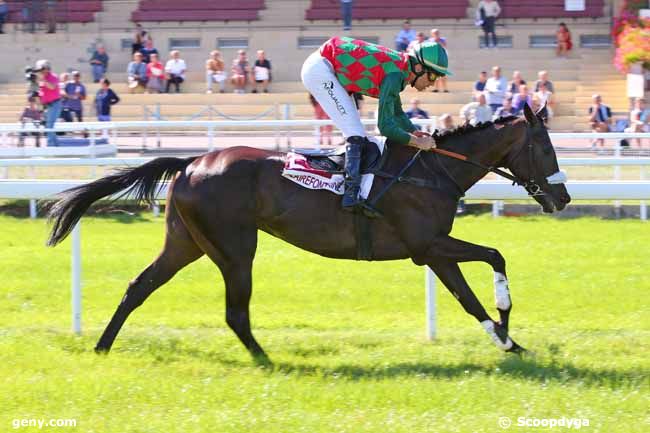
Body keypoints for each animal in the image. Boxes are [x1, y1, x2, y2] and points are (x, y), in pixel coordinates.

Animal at [46, 104, 568, 362]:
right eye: (545, 147)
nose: (562, 198)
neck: (431, 170)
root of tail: (192, 160)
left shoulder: (431, 252)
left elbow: (468, 298)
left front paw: (508, 341)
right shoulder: (428, 243)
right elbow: (495, 256)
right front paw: (506, 319)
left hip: (186, 241)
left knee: (139, 286)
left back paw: (102, 346)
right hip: (235, 247)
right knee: (235, 311)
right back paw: (265, 358)